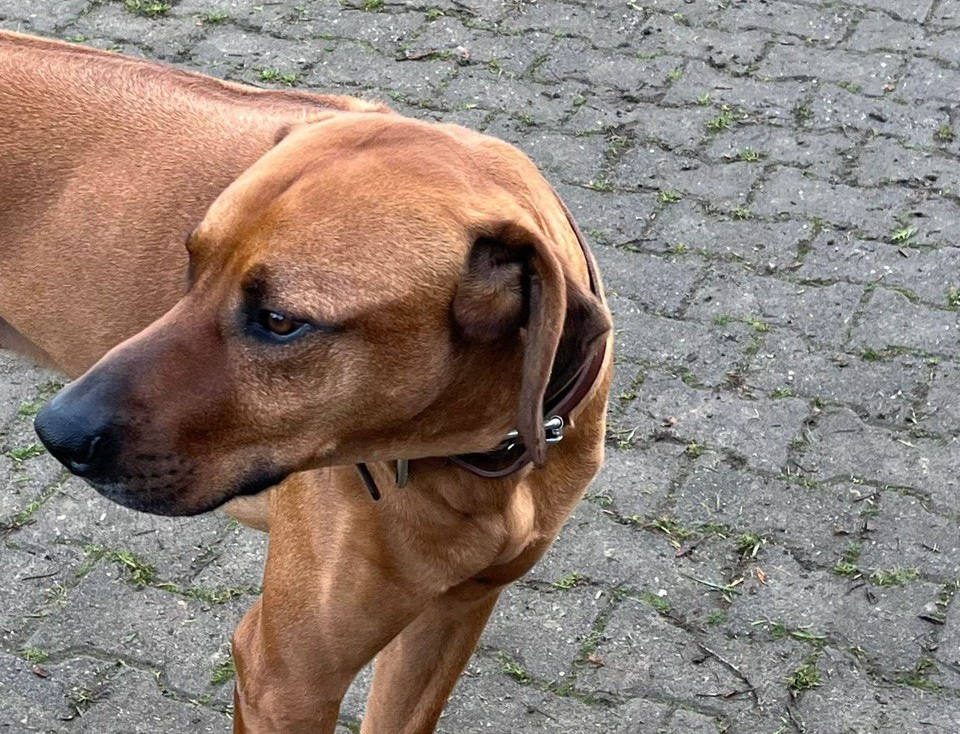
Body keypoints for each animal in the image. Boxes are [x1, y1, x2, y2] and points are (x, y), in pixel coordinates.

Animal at [0, 30, 612, 732]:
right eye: (192, 265)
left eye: (280, 321)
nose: (56, 434)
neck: (474, 457)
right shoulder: (285, 679)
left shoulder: (454, 613)